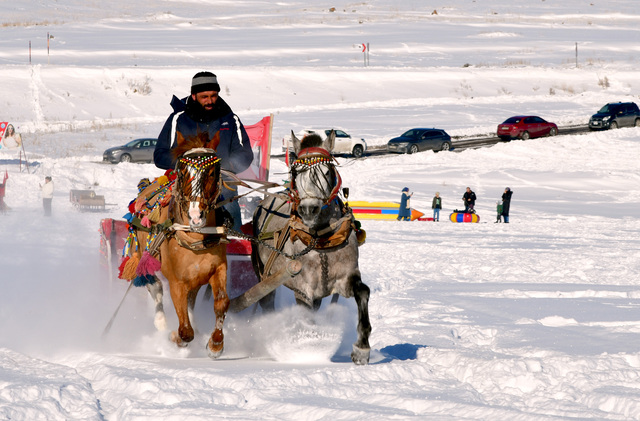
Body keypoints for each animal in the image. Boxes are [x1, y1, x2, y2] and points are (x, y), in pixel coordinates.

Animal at [134, 131, 229, 358]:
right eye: (183, 171)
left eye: (212, 172)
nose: (196, 215)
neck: (196, 237)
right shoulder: (177, 282)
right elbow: (185, 331)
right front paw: (173, 336)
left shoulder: (217, 269)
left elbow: (221, 303)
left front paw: (216, 344)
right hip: (146, 255)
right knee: (155, 286)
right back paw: (161, 322)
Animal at [250, 130, 370, 362]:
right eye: (295, 172)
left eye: (327, 171)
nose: (308, 209)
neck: (320, 240)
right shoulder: (303, 289)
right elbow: (306, 320)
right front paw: (309, 351)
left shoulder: (346, 277)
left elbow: (363, 292)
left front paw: (362, 348)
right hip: (263, 274)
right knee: (266, 302)